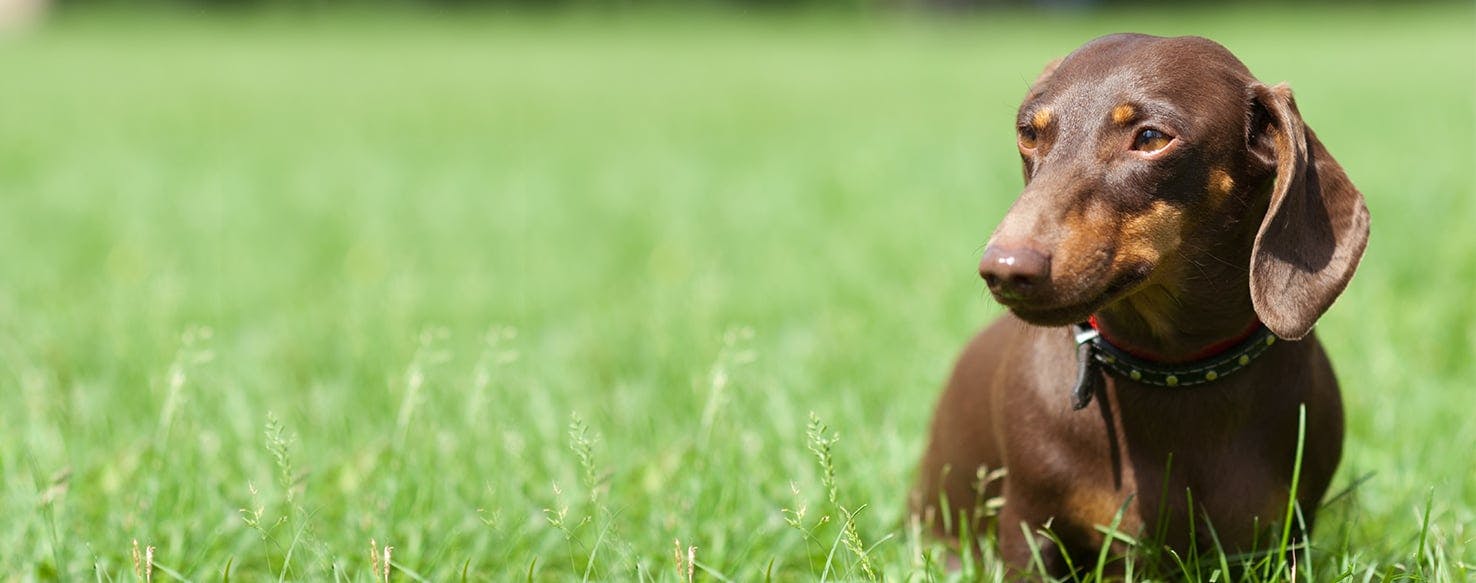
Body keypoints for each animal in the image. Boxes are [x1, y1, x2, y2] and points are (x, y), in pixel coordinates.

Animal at [909, 34, 1369, 578]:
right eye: (1028, 132)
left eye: (1150, 138)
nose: (1004, 269)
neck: (1174, 371)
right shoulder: (1027, 528)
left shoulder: (1286, 541)